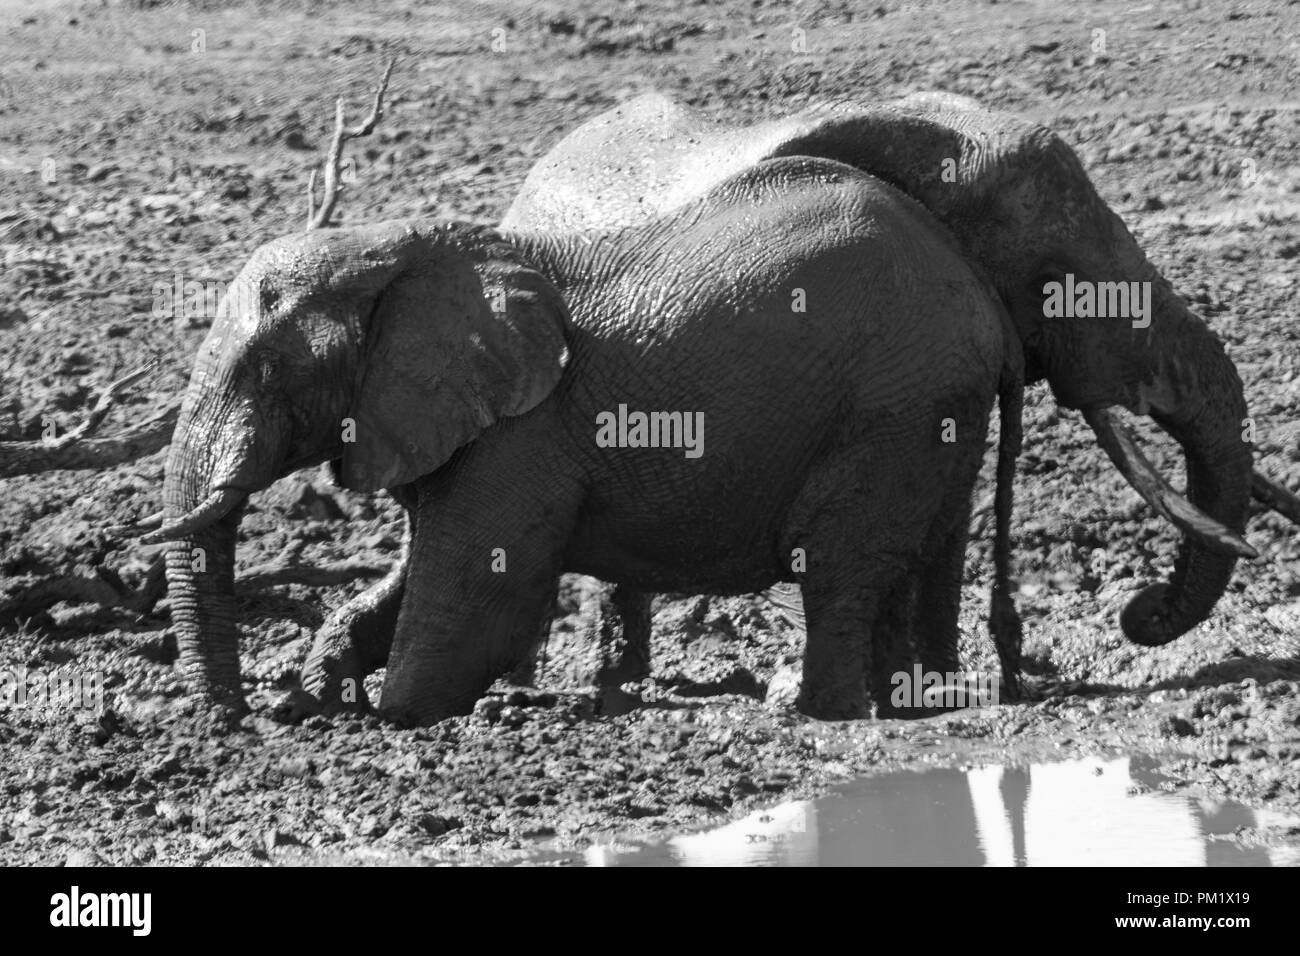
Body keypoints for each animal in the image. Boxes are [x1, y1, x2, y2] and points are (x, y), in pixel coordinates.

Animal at [149, 157, 1024, 723]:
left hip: (893, 402)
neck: (403, 248)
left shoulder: (524, 434)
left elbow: (473, 598)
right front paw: (323, 690)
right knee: (920, 555)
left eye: (267, 371)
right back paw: (909, 704)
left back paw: (816, 711)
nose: (234, 721)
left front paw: (389, 714)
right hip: (932, 405)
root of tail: (985, 297)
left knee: (837, 561)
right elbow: (411, 578)